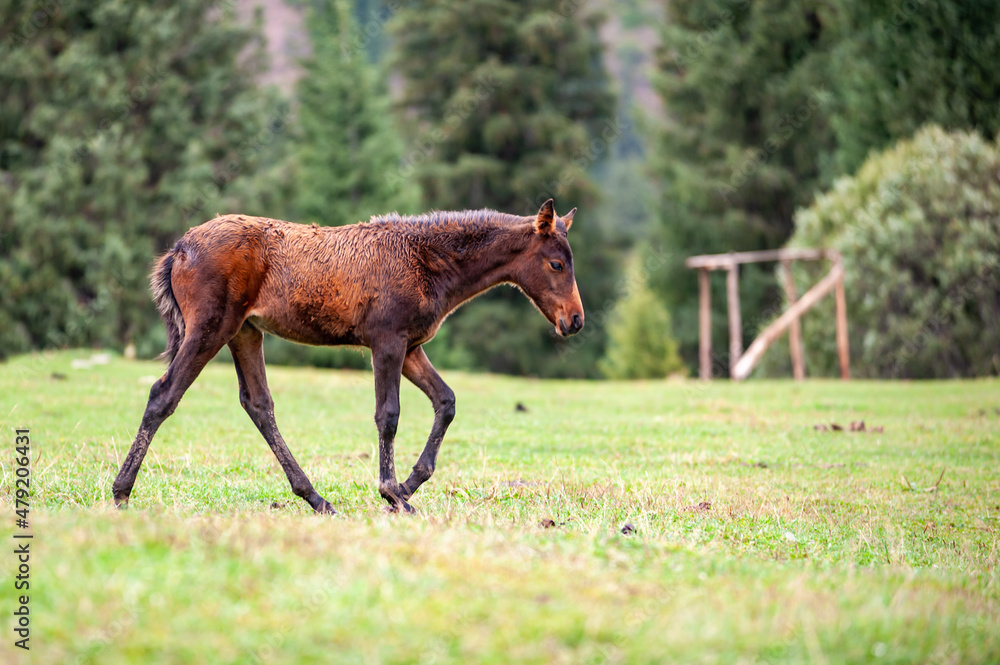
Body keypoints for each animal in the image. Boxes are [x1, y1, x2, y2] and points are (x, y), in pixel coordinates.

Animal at [112, 199, 584, 514]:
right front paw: (392, 492)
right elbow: (388, 415)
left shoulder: (411, 347)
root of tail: (180, 248)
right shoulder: (387, 342)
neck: (428, 261)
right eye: (557, 264)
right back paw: (121, 492)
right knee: (164, 394)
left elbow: (446, 401)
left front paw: (409, 485)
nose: (575, 320)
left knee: (258, 405)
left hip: (245, 332)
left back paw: (316, 498)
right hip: (210, 328)